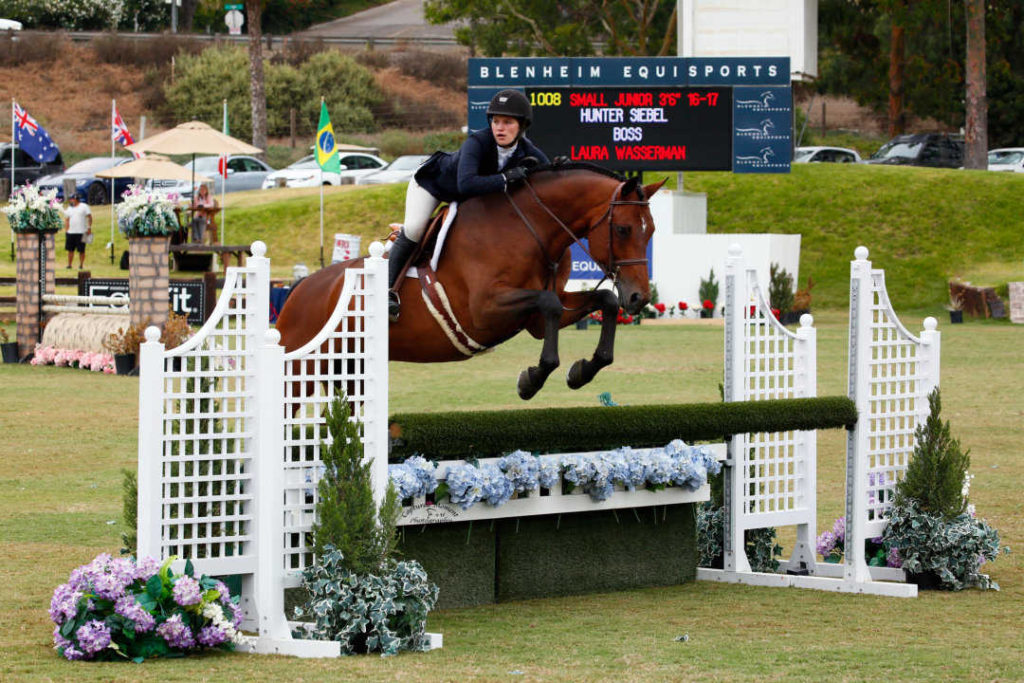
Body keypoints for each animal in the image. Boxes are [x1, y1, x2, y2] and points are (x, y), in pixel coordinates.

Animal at [276, 163, 667, 401]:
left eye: (651, 231)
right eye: (623, 229)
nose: (639, 297)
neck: (531, 227)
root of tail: (299, 291)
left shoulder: (534, 320)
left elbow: (602, 302)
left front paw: (581, 371)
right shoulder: (484, 311)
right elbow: (551, 304)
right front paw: (531, 380)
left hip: (348, 372)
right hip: (298, 373)